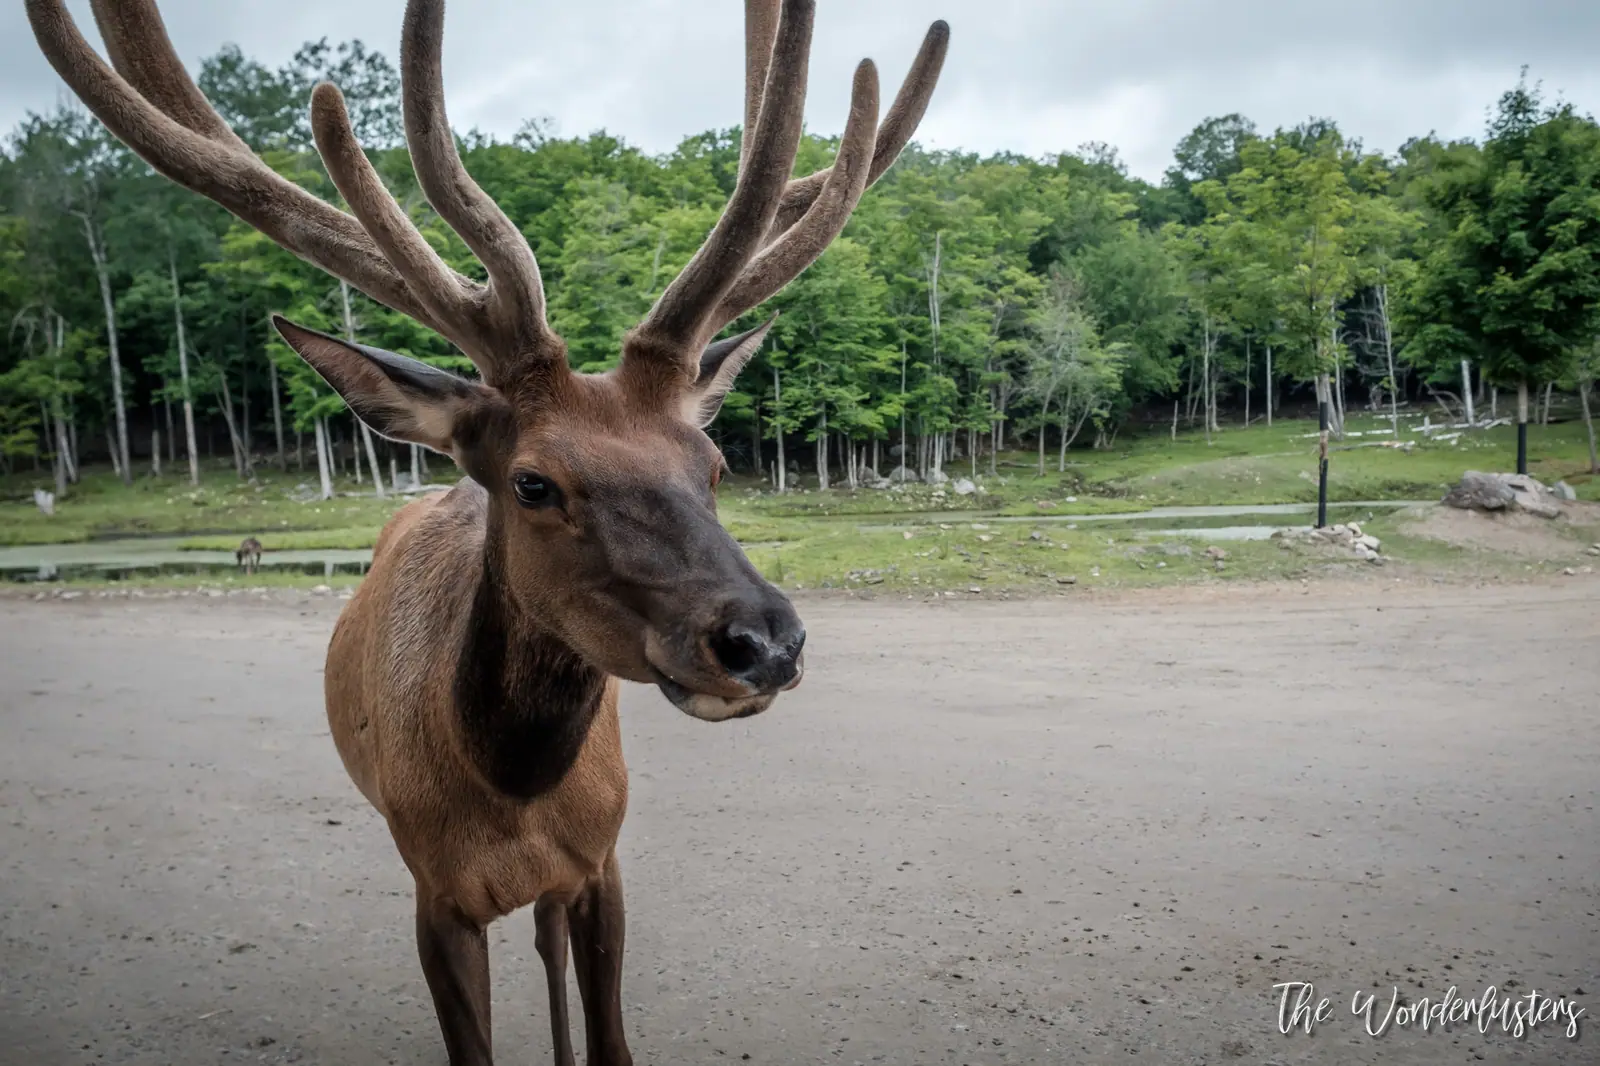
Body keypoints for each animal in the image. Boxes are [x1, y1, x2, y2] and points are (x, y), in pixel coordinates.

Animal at [25, 1, 947, 1062]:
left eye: (713, 465)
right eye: (534, 482)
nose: (763, 641)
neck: (511, 795)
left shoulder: (602, 867)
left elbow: (610, 1035)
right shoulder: (435, 898)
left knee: (543, 941)